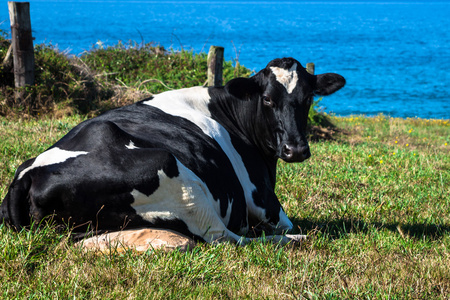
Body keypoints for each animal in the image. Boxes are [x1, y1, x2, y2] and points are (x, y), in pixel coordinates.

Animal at [0, 57, 346, 245]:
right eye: (268, 99)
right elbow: (281, 222)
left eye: (308, 98)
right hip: (177, 176)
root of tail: (25, 178)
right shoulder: (262, 200)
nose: (295, 149)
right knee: (229, 239)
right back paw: (296, 241)